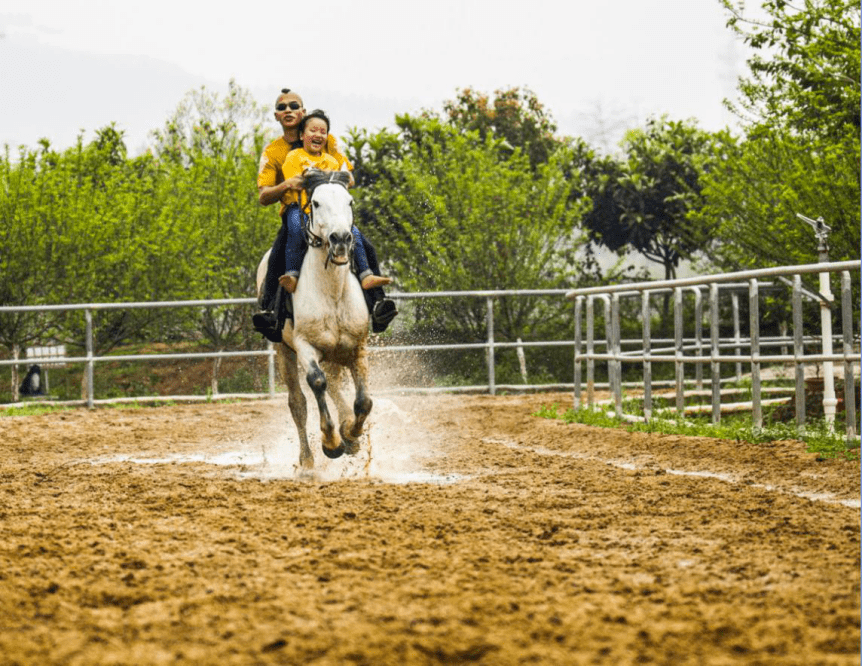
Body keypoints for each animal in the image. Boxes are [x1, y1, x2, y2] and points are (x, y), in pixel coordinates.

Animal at [255, 170, 372, 466]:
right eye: (316, 203)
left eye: (350, 201)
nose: (340, 238)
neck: (332, 292)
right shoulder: (305, 346)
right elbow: (317, 383)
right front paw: (331, 443)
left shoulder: (358, 346)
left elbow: (364, 401)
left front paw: (351, 434)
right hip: (284, 351)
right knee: (298, 402)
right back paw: (307, 463)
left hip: (334, 353)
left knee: (335, 388)